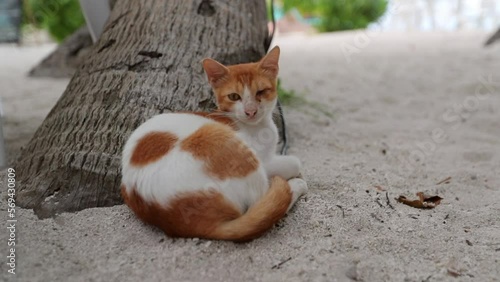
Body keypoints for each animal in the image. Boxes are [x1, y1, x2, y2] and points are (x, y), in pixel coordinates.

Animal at [121, 46, 308, 242]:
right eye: (234, 96)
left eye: (261, 92)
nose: (250, 111)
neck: (255, 125)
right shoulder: (264, 160)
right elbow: (295, 162)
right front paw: (295, 173)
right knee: (262, 205)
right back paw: (294, 186)